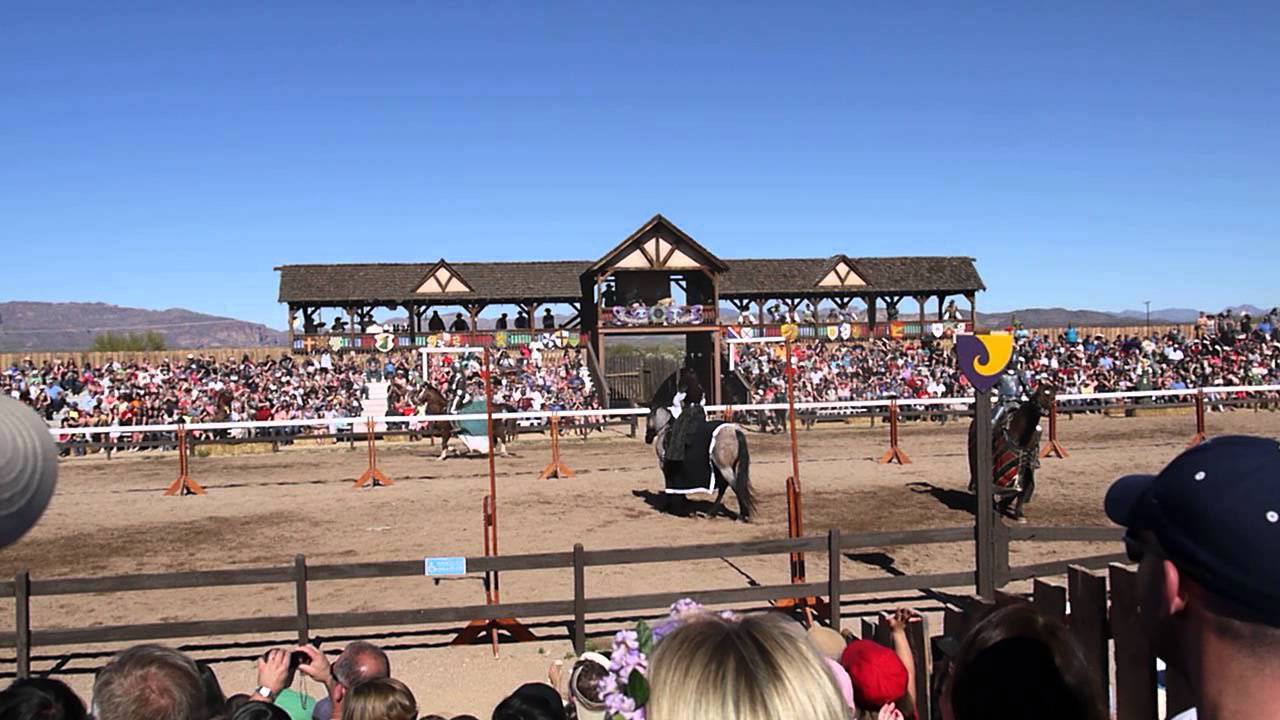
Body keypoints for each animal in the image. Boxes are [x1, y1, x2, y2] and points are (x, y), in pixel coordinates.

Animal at [962, 381, 1054, 520]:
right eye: (1039, 394)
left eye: (1053, 396)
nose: (1045, 411)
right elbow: (1002, 488)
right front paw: (1000, 508)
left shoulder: (1026, 465)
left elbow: (1020, 489)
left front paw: (1018, 513)